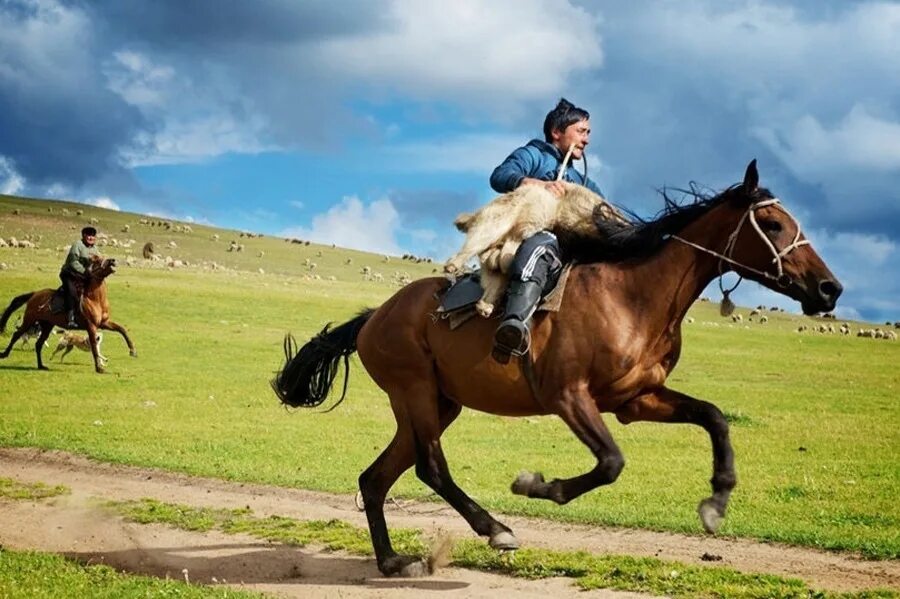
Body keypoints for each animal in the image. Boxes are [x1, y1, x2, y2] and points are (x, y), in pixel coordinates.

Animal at [0, 255, 135, 372]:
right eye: (97, 260)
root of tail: (34, 294)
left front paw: (132, 351)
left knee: (38, 344)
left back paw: (41, 366)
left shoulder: (104, 323)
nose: (113, 260)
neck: (95, 298)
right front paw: (99, 368)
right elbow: (94, 346)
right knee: (17, 335)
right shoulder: (91, 326)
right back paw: (4, 354)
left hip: (47, 325)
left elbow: (122, 329)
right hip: (30, 320)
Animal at [272, 162, 844, 580]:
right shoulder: (569, 396)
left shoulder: (637, 399)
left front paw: (717, 501)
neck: (634, 294)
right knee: (430, 468)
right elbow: (611, 463)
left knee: (376, 478)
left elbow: (714, 417)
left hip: (437, 403)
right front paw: (537, 487)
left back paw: (393, 560)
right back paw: (496, 529)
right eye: (774, 225)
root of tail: (374, 316)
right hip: (414, 393)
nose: (829, 289)